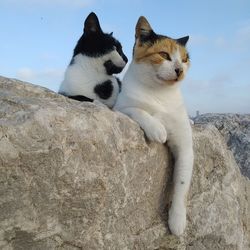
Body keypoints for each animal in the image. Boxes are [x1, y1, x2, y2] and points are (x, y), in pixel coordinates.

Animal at [113, 16, 193, 235]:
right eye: (164, 55)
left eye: (185, 59)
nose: (180, 70)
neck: (161, 94)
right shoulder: (121, 108)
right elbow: (139, 111)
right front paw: (158, 129)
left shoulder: (185, 145)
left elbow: (182, 183)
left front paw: (177, 221)